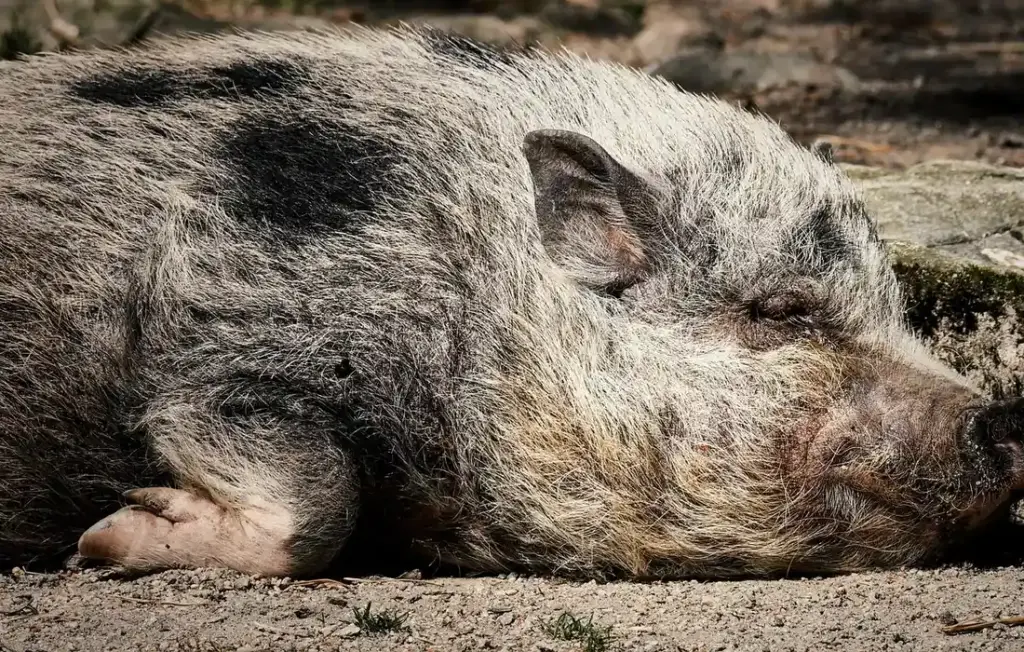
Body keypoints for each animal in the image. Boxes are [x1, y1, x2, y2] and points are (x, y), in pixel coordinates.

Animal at [0, 24, 1020, 581]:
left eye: (895, 306)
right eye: (780, 310)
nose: (1002, 419)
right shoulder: (229, 353)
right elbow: (314, 491)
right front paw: (104, 535)